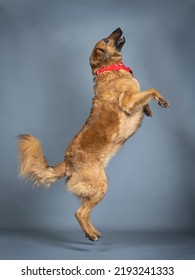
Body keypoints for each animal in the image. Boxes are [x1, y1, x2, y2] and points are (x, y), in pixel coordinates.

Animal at [17, 29, 169, 243]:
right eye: (106, 39)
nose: (119, 28)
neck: (108, 69)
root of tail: (67, 162)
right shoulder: (128, 101)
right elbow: (151, 89)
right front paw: (161, 101)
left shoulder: (134, 99)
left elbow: (145, 95)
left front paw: (148, 109)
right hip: (100, 186)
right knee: (79, 213)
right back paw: (90, 234)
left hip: (93, 190)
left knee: (84, 212)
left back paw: (92, 232)